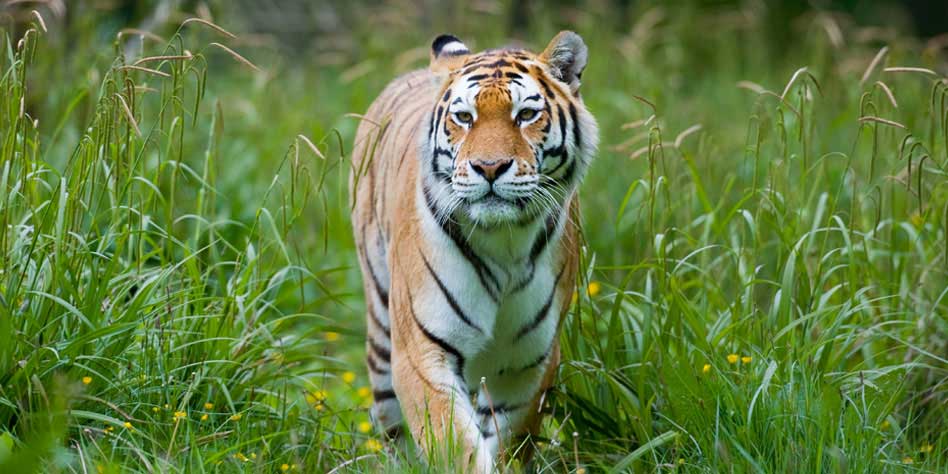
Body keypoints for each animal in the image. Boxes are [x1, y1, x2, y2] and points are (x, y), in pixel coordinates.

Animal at [348, 31, 600, 472]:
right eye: (464, 118)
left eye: (526, 115)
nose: (490, 167)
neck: (506, 241)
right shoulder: (422, 351)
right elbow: (453, 442)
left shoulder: (528, 361)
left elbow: (507, 439)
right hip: (381, 331)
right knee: (392, 425)